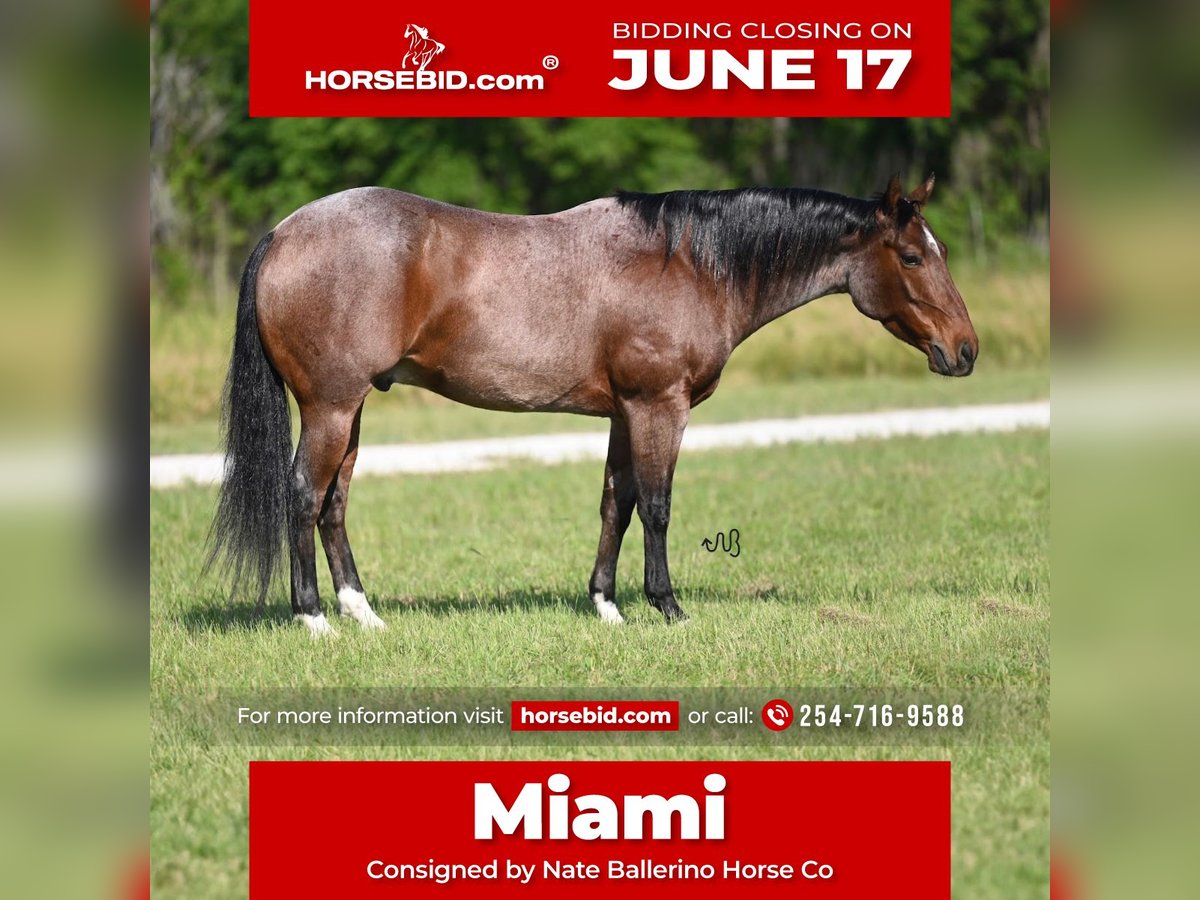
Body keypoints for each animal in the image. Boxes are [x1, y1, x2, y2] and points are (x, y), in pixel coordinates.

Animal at [206, 176, 974, 638]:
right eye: (911, 257)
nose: (965, 350)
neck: (688, 262)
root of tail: (283, 233)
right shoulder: (660, 407)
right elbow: (658, 506)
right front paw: (667, 606)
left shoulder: (624, 413)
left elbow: (617, 503)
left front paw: (606, 603)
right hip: (331, 408)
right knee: (303, 494)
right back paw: (313, 618)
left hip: (353, 409)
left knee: (333, 503)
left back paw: (361, 612)